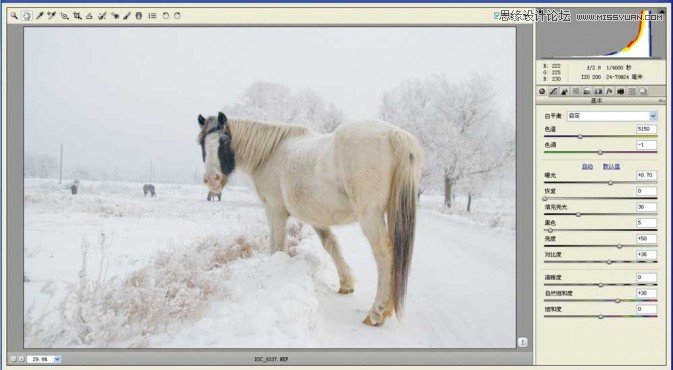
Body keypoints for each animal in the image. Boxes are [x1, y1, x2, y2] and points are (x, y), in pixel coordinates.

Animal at [197, 111, 422, 326]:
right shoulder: (315, 217)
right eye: (201, 142)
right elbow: (331, 245)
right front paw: (346, 284)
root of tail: (395, 134)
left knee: (383, 253)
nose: (211, 180)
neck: (271, 154)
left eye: (225, 140)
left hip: (370, 214)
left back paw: (376, 313)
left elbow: (277, 247)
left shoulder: (275, 211)